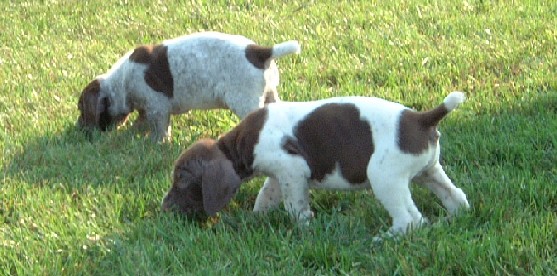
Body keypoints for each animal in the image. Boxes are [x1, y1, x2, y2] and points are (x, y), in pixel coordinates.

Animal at [77, 31, 300, 141]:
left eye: (81, 110)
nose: (79, 129)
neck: (122, 81)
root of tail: (260, 51)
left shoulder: (158, 106)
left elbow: (160, 128)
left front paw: (156, 142)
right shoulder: (147, 108)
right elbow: (142, 119)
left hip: (245, 102)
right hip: (271, 94)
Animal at [161, 91, 470, 234]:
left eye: (181, 179)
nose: (164, 208)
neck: (242, 142)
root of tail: (421, 119)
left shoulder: (292, 170)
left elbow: (295, 206)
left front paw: (303, 227)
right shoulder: (279, 176)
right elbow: (265, 197)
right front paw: (255, 220)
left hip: (385, 179)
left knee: (411, 220)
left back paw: (386, 237)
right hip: (429, 172)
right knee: (456, 198)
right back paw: (451, 220)